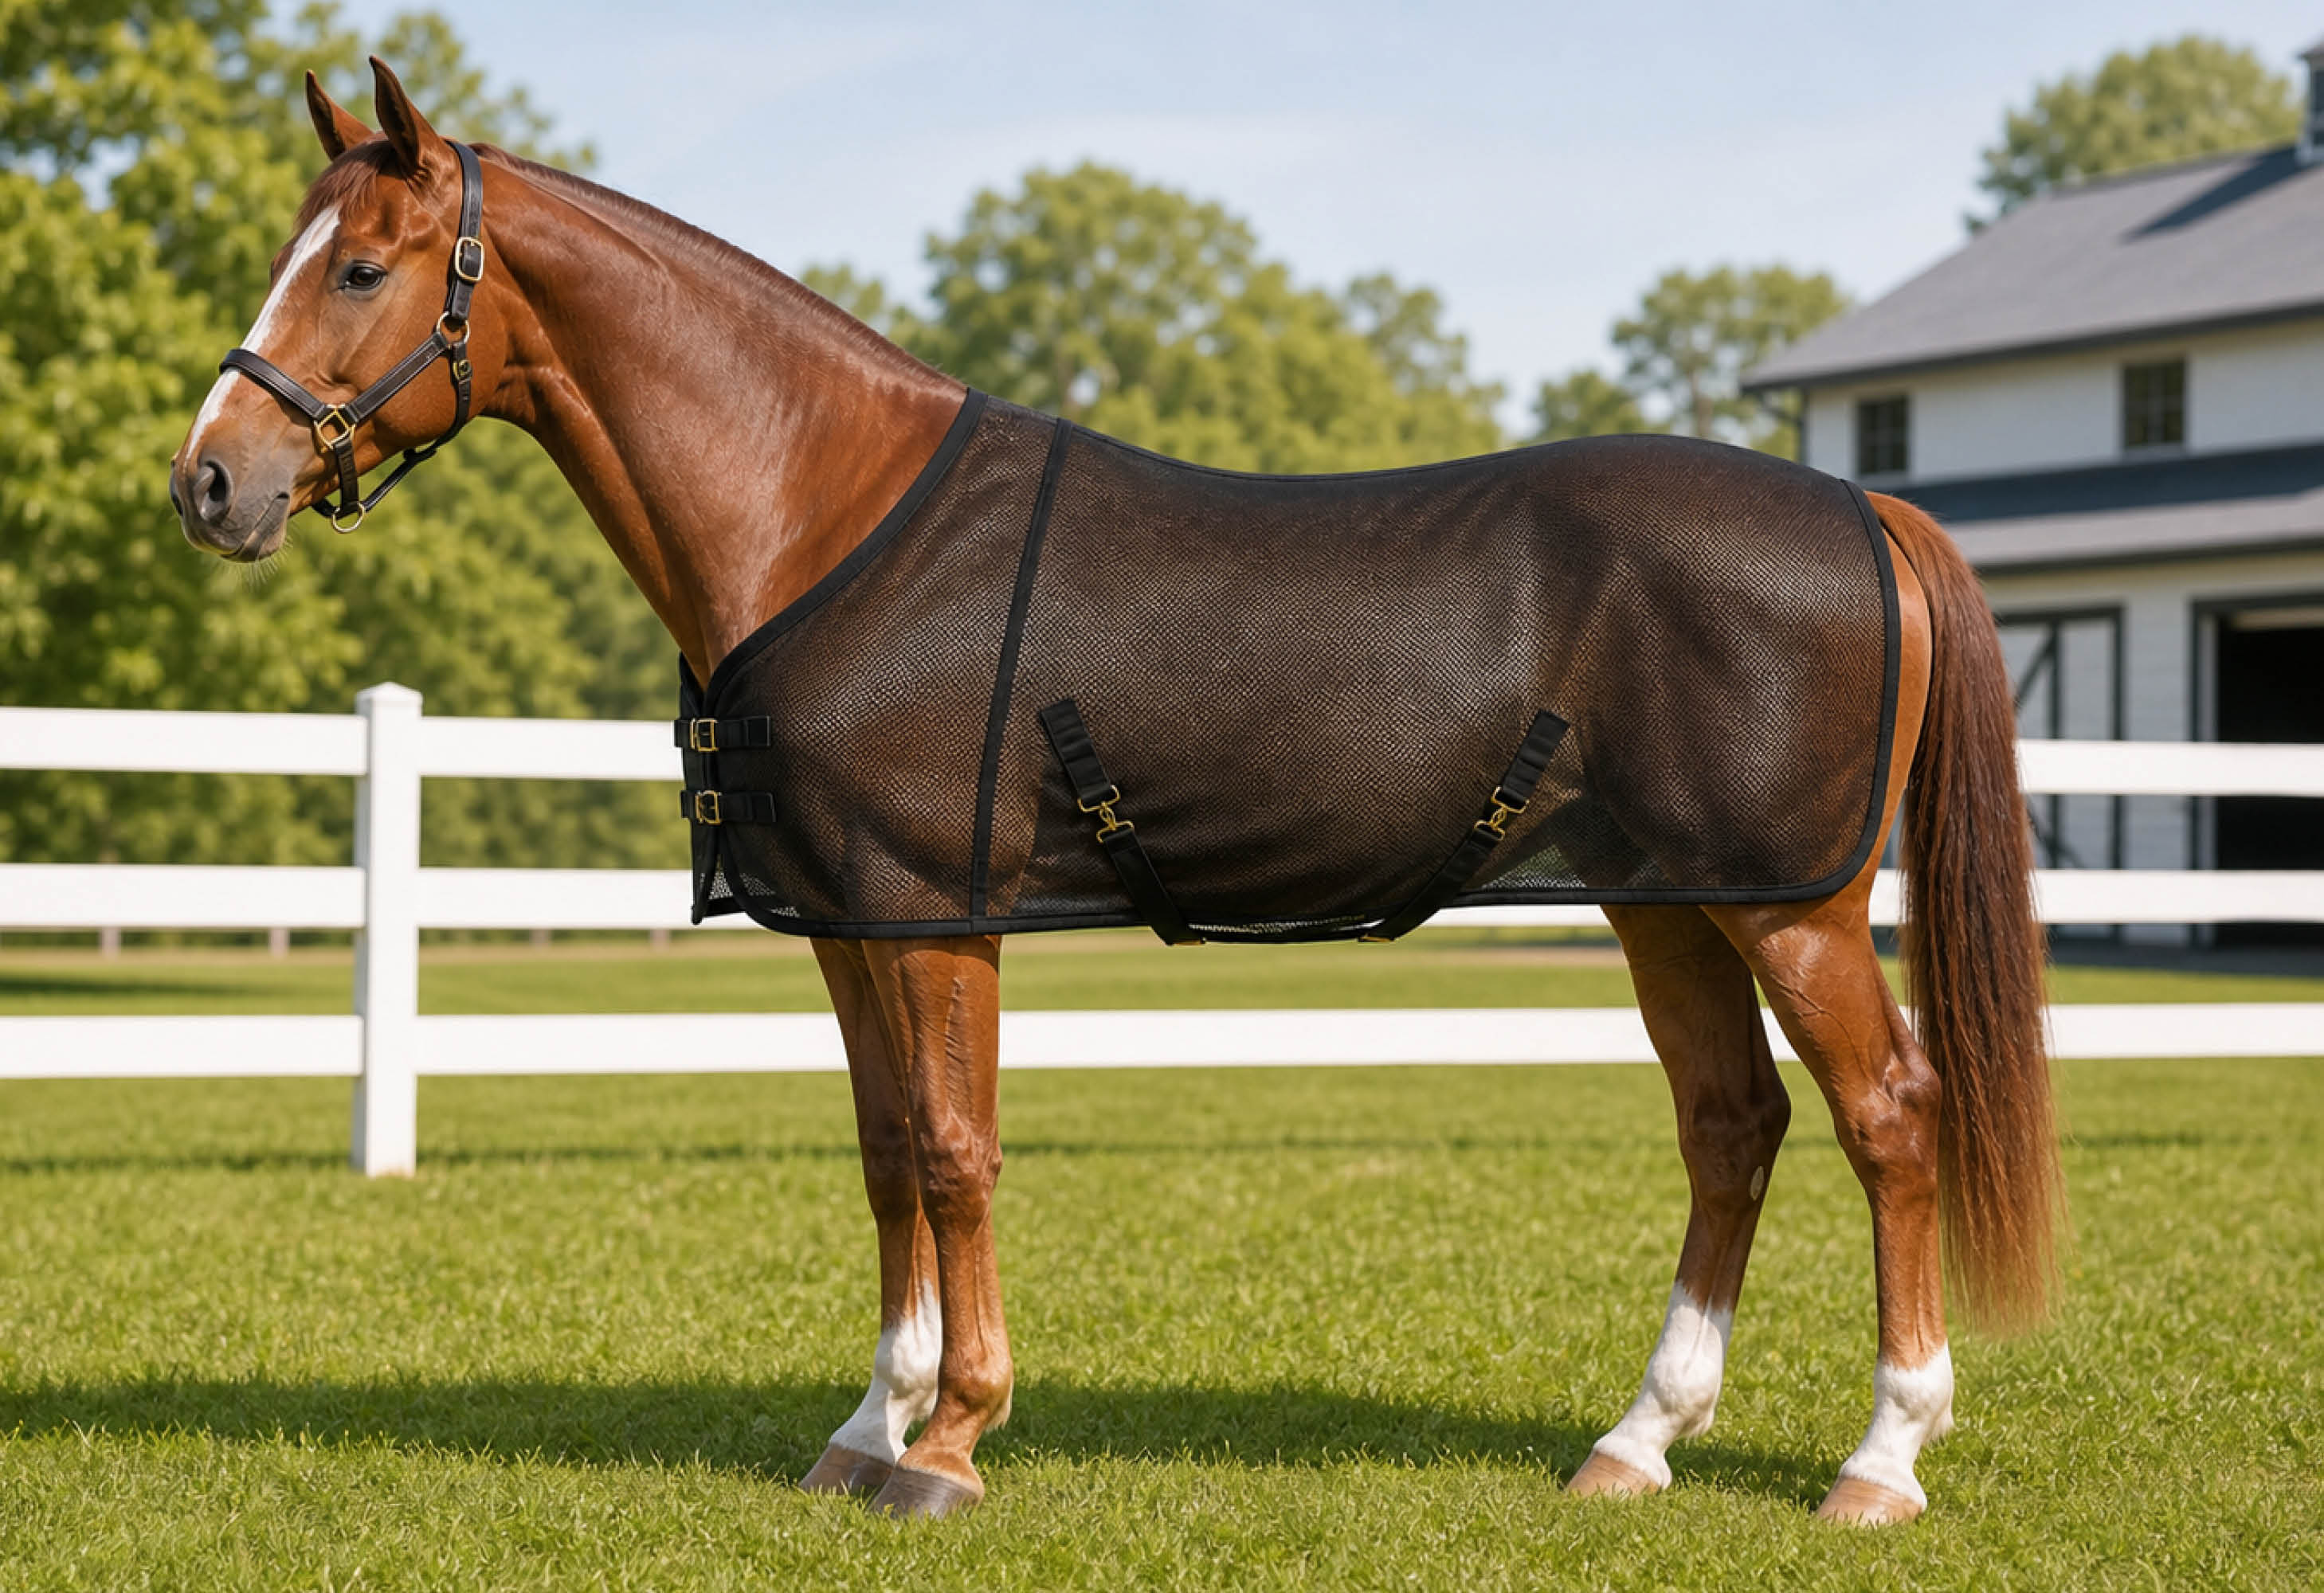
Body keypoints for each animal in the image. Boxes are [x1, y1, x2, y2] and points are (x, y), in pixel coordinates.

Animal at [170, 59, 2059, 1525]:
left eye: (360, 270)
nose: (211, 483)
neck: (828, 507)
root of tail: (1864, 513)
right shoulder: (849, 925)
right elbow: (884, 1154)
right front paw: (867, 1423)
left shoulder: (937, 918)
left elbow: (955, 1152)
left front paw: (949, 1440)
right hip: (1667, 901)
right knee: (1731, 1125)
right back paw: (1636, 1443)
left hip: (1790, 904)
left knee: (1892, 1113)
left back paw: (1880, 1459)